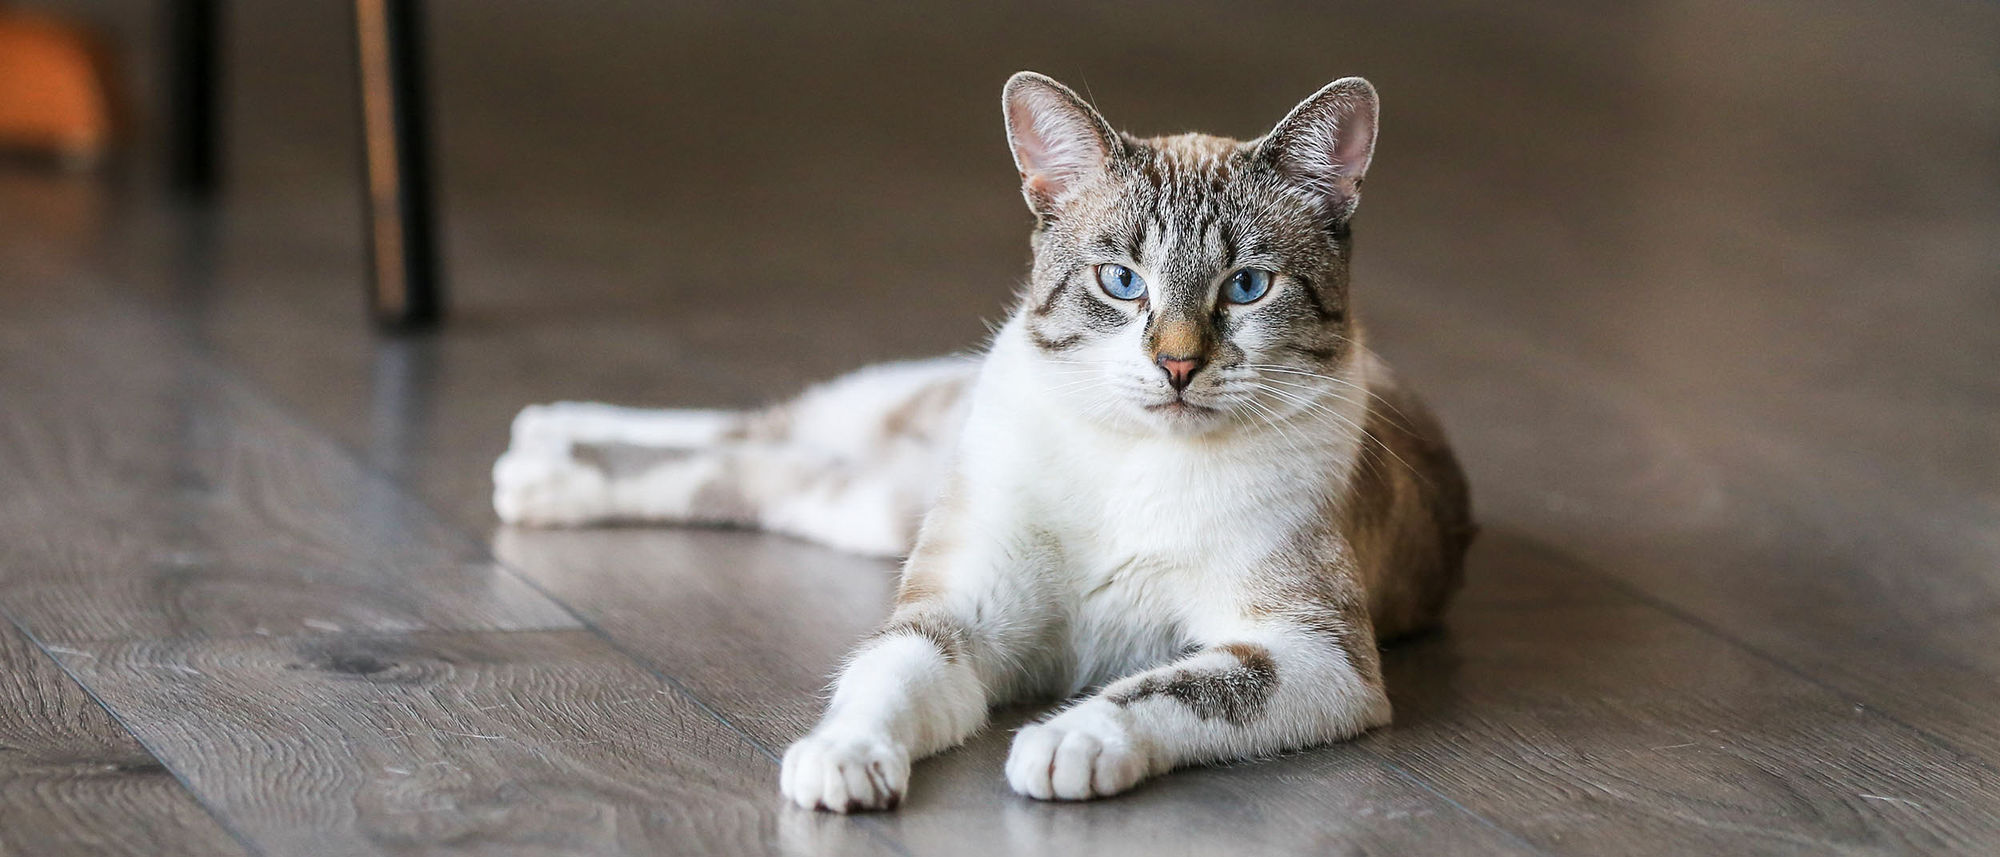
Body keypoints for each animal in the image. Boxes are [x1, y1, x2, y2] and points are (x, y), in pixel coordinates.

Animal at [492, 72, 1480, 808]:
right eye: (1121, 281)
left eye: (1246, 286)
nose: (1176, 365)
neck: (1133, 458)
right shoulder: (960, 614)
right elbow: (886, 672)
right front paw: (842, 757)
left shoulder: (1315, 653)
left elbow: (1177, 683)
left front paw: (1073, 737)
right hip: (900, 442)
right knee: (762, 422)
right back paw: (544, 436)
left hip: (872, 506)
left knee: (755, 468)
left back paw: (542, 477)